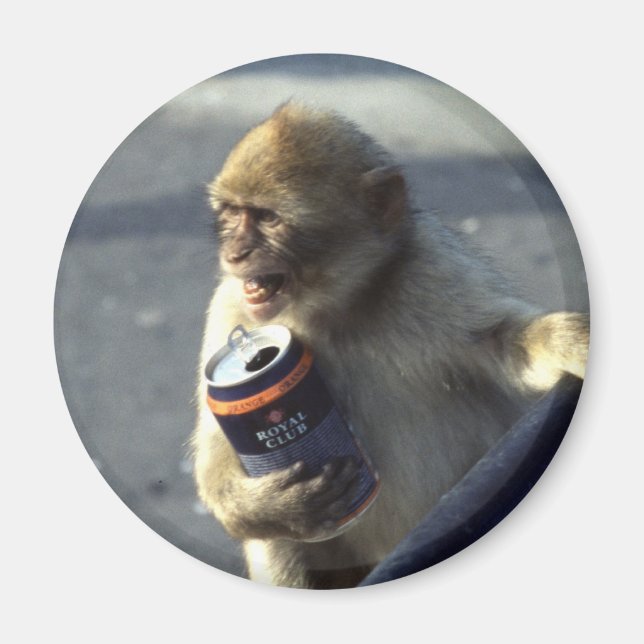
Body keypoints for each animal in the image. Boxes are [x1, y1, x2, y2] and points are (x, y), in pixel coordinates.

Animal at [191, 102, 589, 589]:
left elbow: (500, 341)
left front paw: (570, 342)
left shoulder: (432, 268)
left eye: (267, 218)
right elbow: (215, 454)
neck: (334, 308)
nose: (235, 253)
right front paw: (276, 505)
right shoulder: (230, 310)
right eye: (231, 213)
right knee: (278, 540)